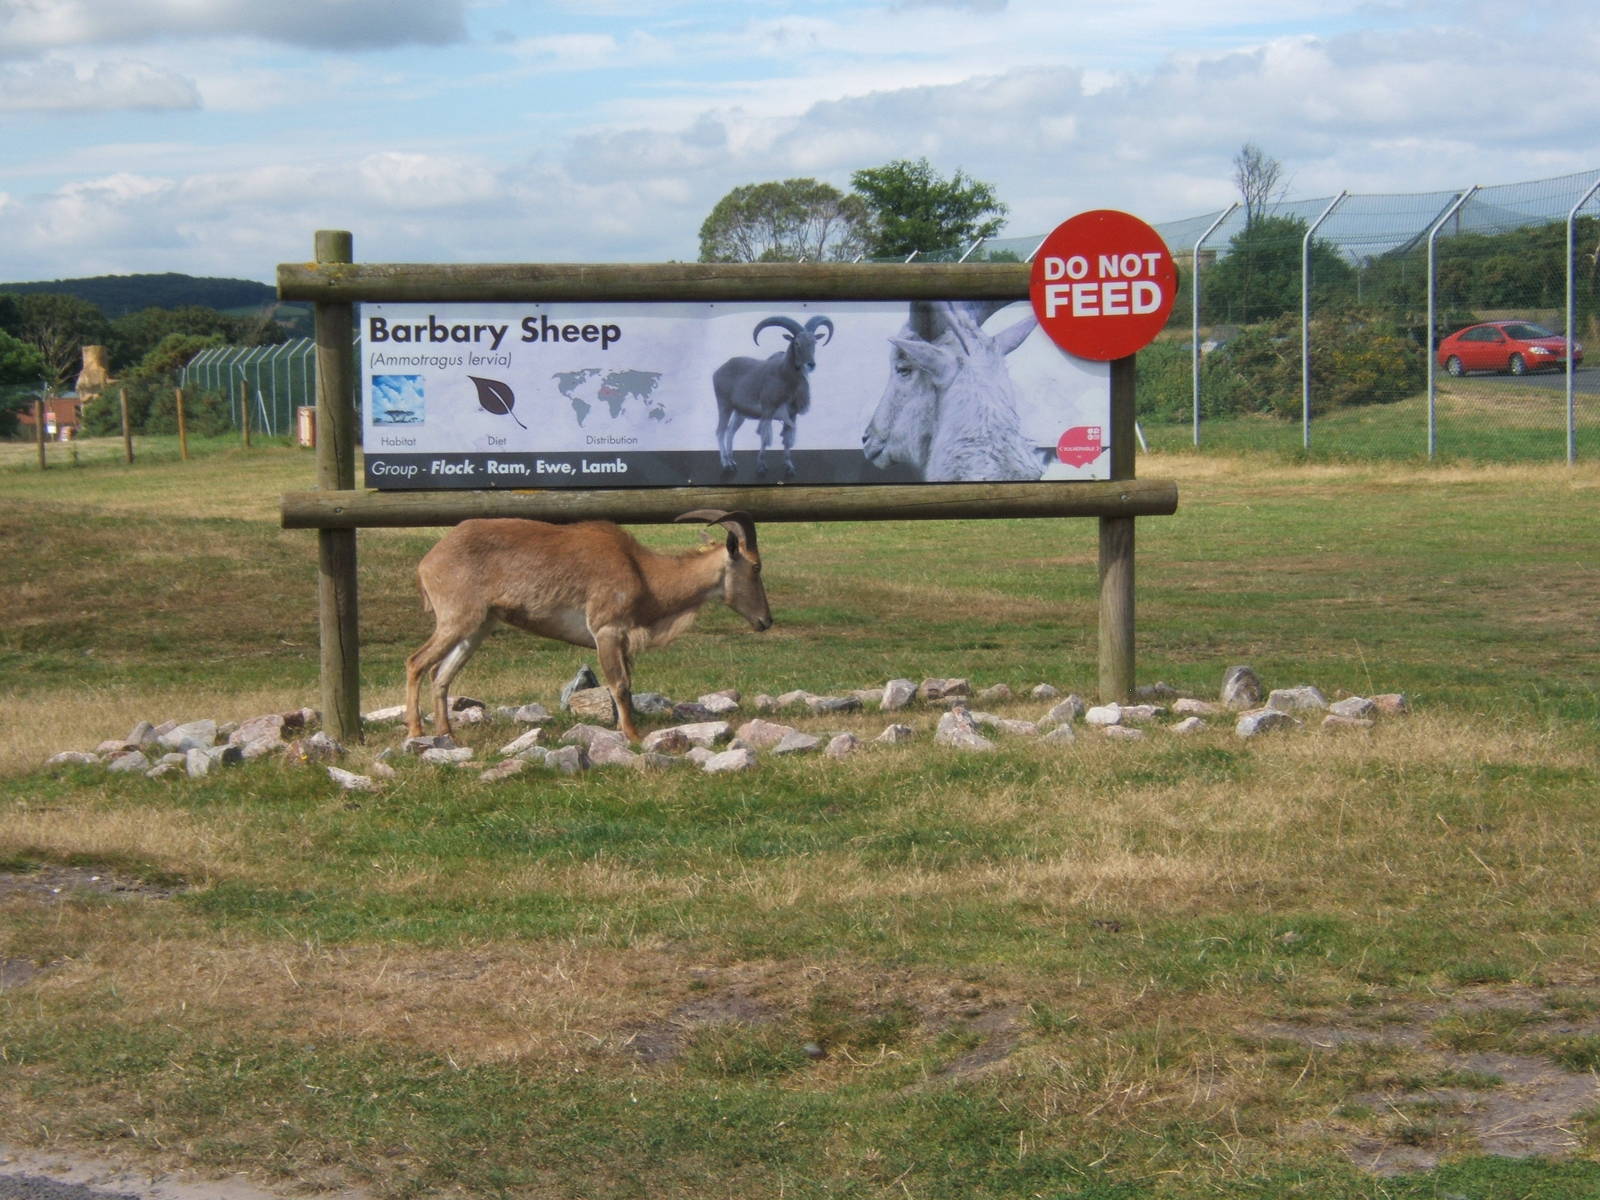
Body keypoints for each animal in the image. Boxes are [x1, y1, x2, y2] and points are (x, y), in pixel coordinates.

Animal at [403, 509, 771, 744]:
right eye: (755, 566)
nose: (766, 620)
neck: (644, 573)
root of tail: (427, 563)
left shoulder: (621, 641)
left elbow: (627, 686)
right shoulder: (607, 630)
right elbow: (620, 686)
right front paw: (633, 736)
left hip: (476, 628)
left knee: (441, 674)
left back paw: (447, 734)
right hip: (456, 619)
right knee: (416, 662)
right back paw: (417, 733)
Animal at [713, 314, 834, 477]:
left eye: (814, 342)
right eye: (797, 343)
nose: (811, 364)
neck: (784, 376)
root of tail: (719, 370)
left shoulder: (792, 415)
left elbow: (788, 439)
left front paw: (789, 467)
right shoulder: (768, 411)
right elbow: (765, 437)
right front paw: (761, 467)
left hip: (740, 413)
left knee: (731, 431)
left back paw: (732, 461)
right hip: (724, 406)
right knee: (720, 431)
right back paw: (726, 464)